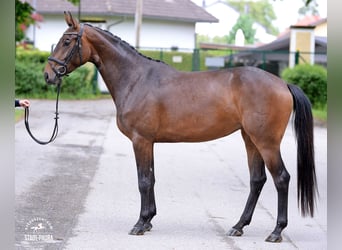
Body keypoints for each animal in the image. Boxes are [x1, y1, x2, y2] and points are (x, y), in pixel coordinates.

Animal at [43, 11, 318, 242]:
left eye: (66, 41)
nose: (48, 74)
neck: (136, 79)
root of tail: (283, 84)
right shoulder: (149, 142)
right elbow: (151, 178)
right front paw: (149, 220)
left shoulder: (140, 140)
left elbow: (143, 180)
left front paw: (139, 224)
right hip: (250, 139)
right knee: (257, 180)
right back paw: (238, 226)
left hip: (266, 142)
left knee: (281, 178)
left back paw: (276, 231)